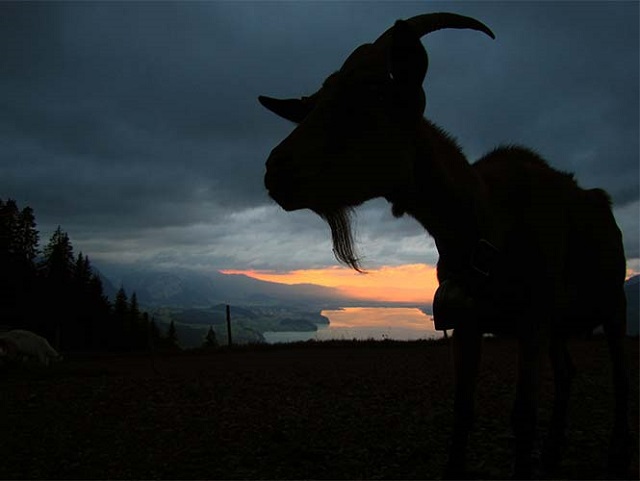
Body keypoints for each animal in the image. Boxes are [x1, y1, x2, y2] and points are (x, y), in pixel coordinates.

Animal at [259, 12, 629, 478]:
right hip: (560, 326)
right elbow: (462, 409)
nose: (275, 170)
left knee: (618, 373)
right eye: (313, 106)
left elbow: (523, 416)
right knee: (566, 372)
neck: (486, 224)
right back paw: (552, 455)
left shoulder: (532, 320)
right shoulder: (469, 323)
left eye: (367, 101)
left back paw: (616, 453)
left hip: (614, 305)